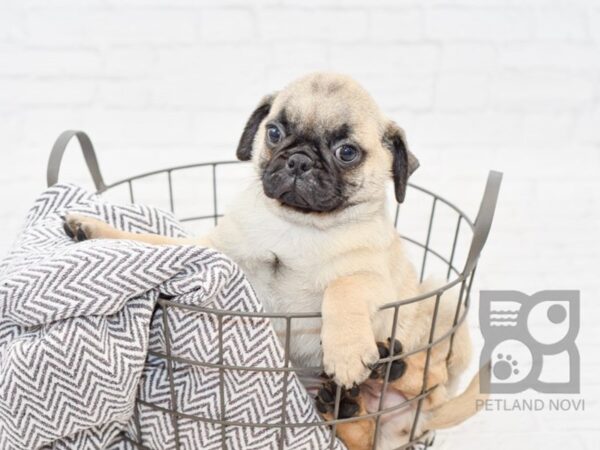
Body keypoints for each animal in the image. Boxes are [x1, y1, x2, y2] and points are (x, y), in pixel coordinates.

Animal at [63, 72, 486, 448]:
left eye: (346, 152)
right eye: (275, 133)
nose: (298, 160)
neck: (297, 225)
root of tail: (414, 424)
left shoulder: (373, 278)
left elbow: (343, 286)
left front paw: (347, 352)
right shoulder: (219, 254)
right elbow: (156, 243)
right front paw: (91, 228)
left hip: (442, 304)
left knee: (426, 378)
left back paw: (386, 367)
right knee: (361, 434)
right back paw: (350, 403)